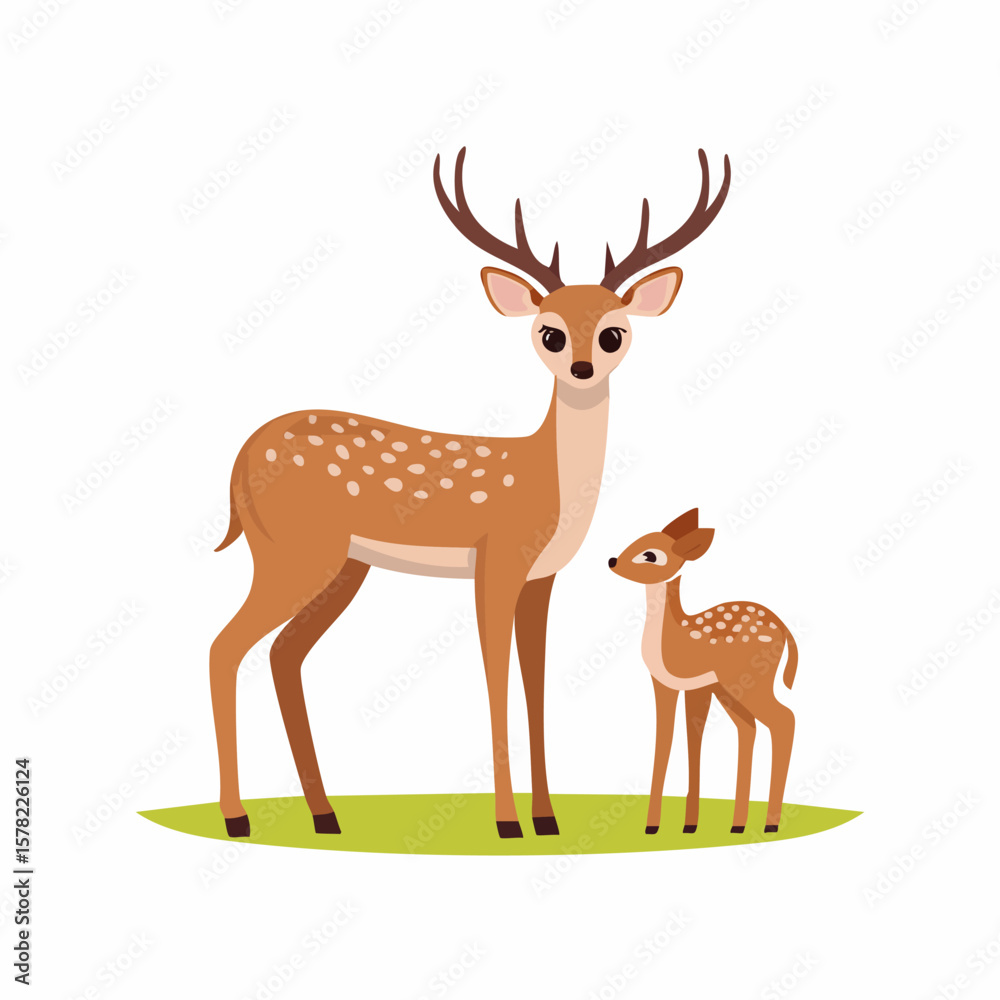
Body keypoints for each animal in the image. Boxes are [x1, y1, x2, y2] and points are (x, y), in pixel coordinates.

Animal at [210, 148, 731, 840]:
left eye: (614, 333)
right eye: (550, 333)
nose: (583, 368)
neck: (549, 488)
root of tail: (238, 464)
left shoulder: (542, 578)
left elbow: (535, 681)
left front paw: (547, 818)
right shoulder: (497, 561)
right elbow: (494, 677)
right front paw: (508, 822)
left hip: (342, 566)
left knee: (282, 654)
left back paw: (325, 815)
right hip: (292, 552)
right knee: (225, 647)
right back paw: (238, 816)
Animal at [608, 509, 797, 835]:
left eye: (650, 555)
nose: (612, 561)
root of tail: (784, 629)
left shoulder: (681, 684)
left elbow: (668, 739)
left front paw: (653, 825)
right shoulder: (681, 684)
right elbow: (685, 738)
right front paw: (687, 824)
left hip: (748, 681)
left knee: (784, 719)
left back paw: (770, 824)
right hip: (730, 689)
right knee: (749, 728)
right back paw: (738, 824)